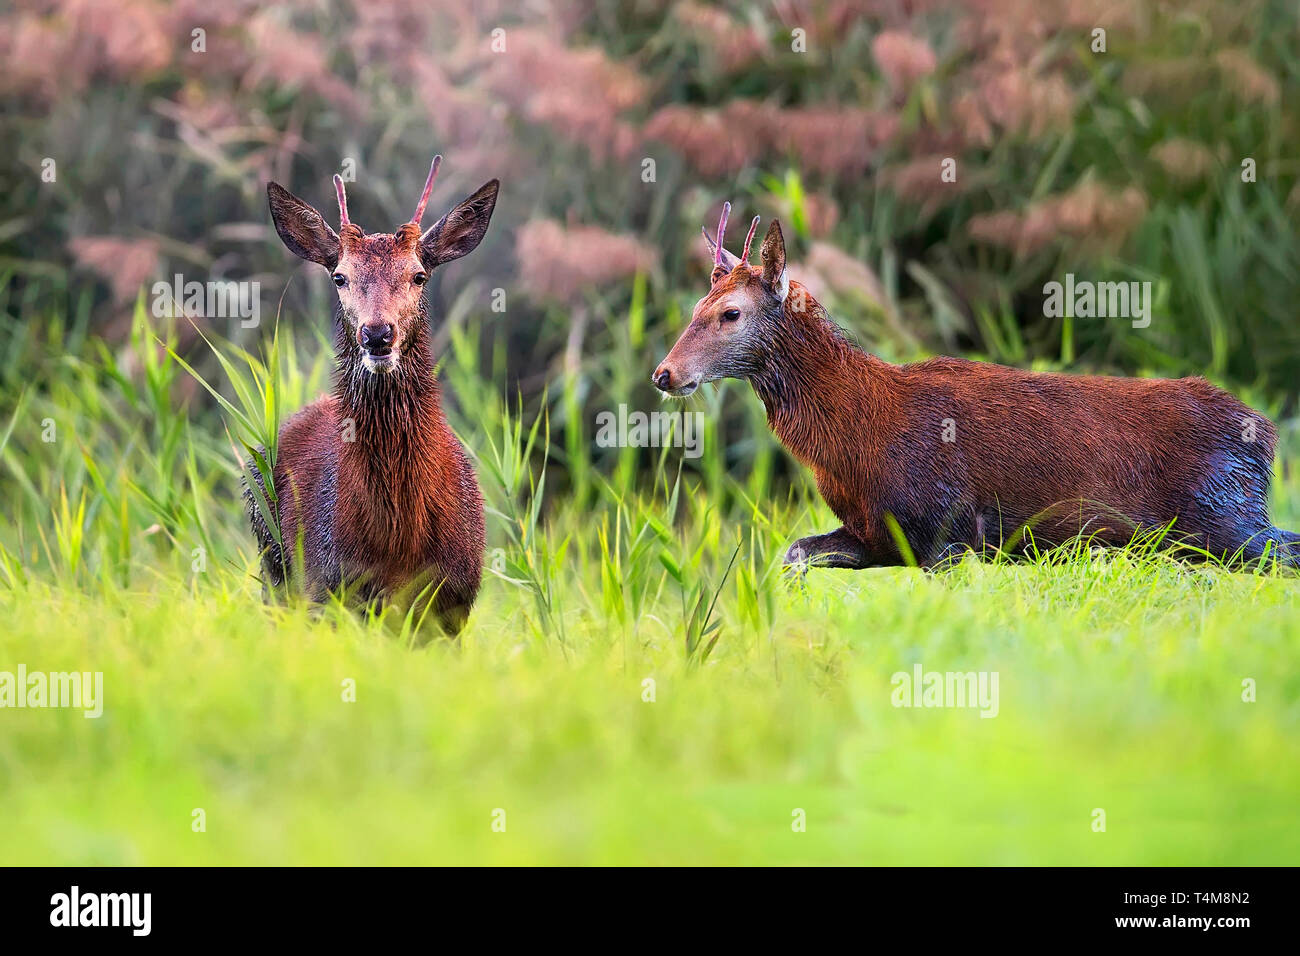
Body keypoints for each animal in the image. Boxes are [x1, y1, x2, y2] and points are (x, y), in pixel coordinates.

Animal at [245, 157, 499, 634]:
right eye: (340, 276)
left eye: (419, 275)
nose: (377, 334)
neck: (398, 538)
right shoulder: (327, 585)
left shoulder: (455, 599)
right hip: (273, 561)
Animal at [660, 204, 1300, 567]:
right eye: (696, 306)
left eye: (731, 313)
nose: (664, 373)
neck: (854, 433)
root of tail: (1265, 433)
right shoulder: (876, 535)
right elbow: (792, 557)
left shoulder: (943, 528)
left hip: (1224, 518)